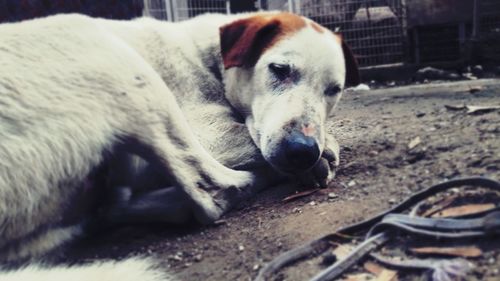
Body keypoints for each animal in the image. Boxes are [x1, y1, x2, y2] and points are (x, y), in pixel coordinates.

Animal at [0, 10, 360, 278]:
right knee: (215, 192)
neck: (209, 57)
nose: (303, 151)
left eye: (333, 90)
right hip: (107, 54)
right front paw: (325, 153)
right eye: (280, 69)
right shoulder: (207, 133)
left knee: (117, 205)